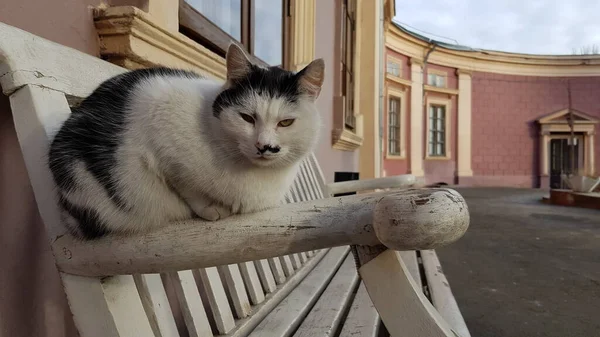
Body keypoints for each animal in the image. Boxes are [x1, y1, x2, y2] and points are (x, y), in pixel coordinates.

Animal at [48, 44, 326, 239]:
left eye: (286, 123)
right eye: (247, 117)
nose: (264, 146)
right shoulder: (160, 137)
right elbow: (187, 188)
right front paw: (211, 209)